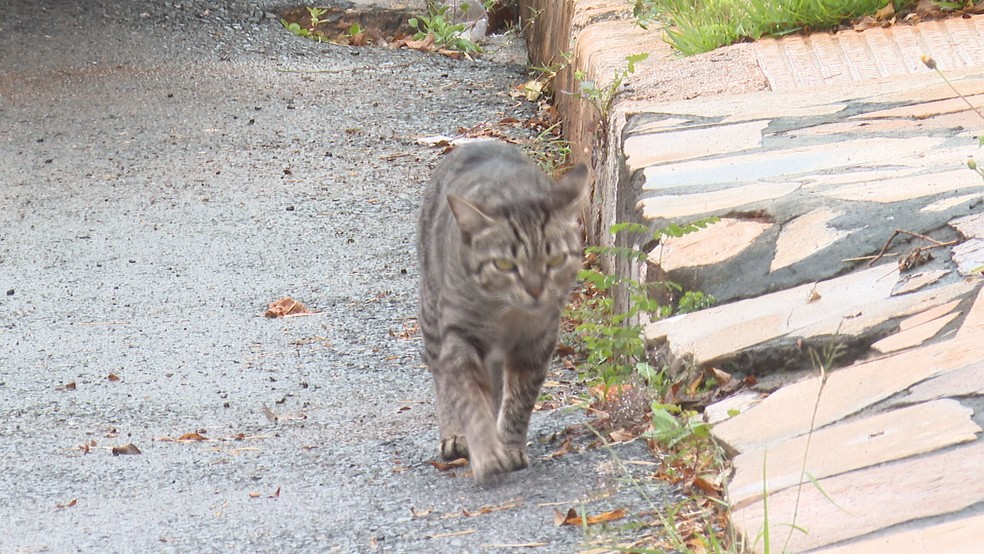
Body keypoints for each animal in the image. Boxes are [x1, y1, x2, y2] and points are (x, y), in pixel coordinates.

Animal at [416, 142, 584, 484]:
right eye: (505, 264)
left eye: (555, 260)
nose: (535, 289)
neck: (507, 316)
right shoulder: (459, 337)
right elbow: (469, 399)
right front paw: (487, 452)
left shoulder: (538, 342)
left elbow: (519, 401)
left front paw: (509, 446)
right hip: (432, 313)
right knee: (443, 378)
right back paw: (455, 435)